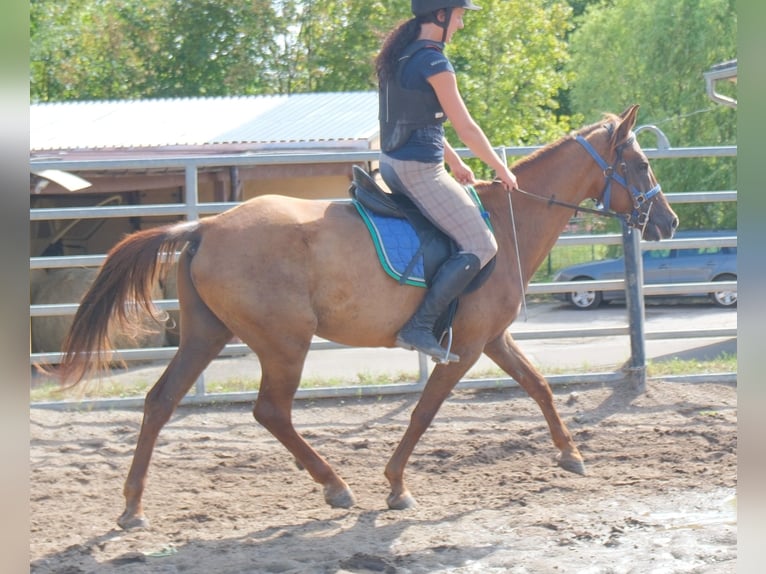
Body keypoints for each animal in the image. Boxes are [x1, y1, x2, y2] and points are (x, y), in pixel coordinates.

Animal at [57, 105, 678, 530]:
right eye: (641, 164)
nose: (668, 222)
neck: (507, 224)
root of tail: (206, 226)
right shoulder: (465, 347)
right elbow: (424, 413)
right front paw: (396, 485)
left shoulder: (492, 339)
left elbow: (540, 385)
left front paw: (571, 454)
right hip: (284, 343)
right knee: (270, 411)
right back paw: (335, 486)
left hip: (206, 336)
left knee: (160, 401)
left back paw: (133, 506)